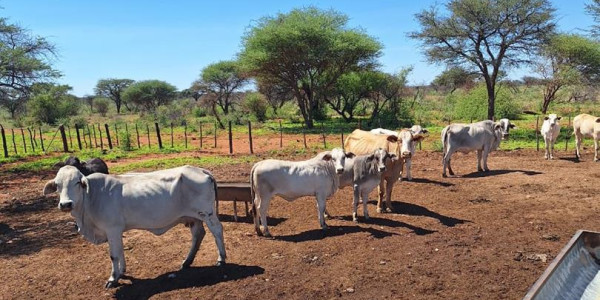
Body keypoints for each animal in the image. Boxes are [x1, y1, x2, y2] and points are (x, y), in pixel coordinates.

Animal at [41, 165, 225, 288]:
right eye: (57, 185)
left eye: (77, 183)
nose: (66, 204)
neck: (92, 197)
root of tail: (201, 170)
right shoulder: (116, 231)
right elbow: (120, 251)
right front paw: (122, 272)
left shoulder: (112, 229)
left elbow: (113, 255)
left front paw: (113, 278)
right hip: (194, 218)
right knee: (198, 234)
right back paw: (187, 261)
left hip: (207, 213)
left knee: (217, 230)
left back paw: (221, 258)